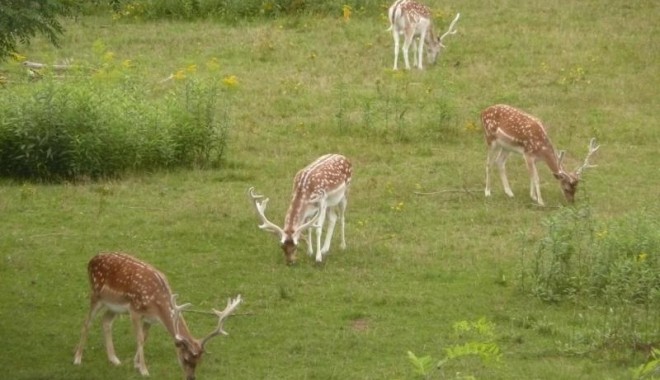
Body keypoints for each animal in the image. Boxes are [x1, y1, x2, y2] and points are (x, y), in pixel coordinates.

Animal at [73, 252, 242, 380]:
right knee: (86, 322)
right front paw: (144, 370)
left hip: (114, 306)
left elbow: (145, 337)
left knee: (106, 321)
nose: (191, 378)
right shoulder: (135, 310)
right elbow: (139, 339)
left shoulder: (150, 318)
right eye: (185, 358)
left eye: (200, 360)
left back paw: (114, 359)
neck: (157, 304)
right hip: (96, 295)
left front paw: (136, 364)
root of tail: (91, 259)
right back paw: (77, 359)